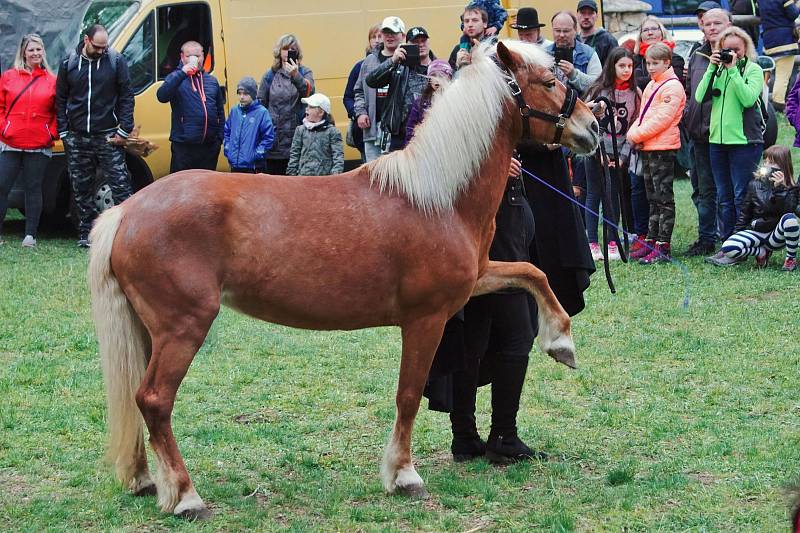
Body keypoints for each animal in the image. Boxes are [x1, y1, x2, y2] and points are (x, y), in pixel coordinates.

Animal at [89, 42, 600, 520]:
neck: (437, 198)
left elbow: (533, 273)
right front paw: (403, 475)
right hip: (184, 327)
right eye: (549, 83)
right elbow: (409, 394)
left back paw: (145, 480)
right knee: (155, 399)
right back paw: (186, 497)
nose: (592, 127)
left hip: (149, 331)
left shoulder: (477, 278)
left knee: (137, 397)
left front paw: (561, 343)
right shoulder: (426, 319)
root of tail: (126, 211)